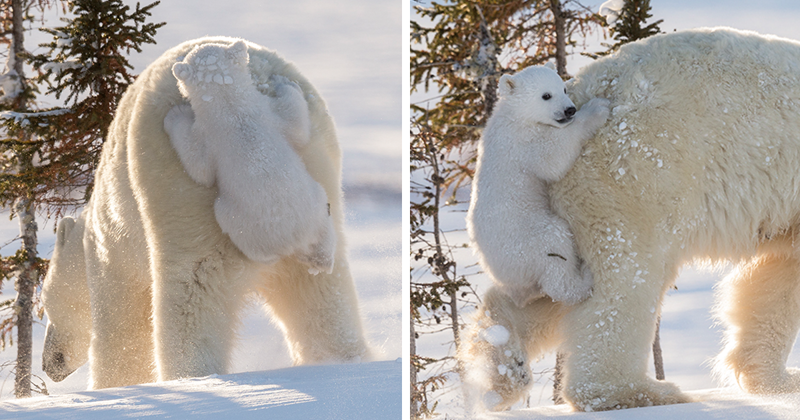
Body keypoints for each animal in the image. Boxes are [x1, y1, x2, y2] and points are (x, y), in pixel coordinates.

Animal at [41, 37, 372, 388]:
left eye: (44, 305)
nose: (49, 364)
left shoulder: (113, 250)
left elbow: (122, 328)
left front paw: (114, 386)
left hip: (177, 194)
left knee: (191, 292)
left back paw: (190, 376)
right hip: (318, 173)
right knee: (321, 294)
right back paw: (342, 359)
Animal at [468, 27, 800, 412]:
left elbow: (776, 277)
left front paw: (777, 380)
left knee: (549, 284)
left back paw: (503, 367)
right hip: (636, 175)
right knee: (624, 278)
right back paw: (641, 391)